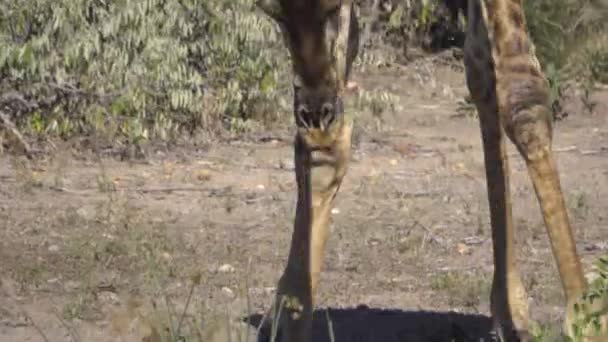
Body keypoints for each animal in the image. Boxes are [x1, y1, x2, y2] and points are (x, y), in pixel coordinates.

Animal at [254, 0, 604, 340]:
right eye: (272, 12)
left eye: (332, 7)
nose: (316, 112)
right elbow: (327, 145)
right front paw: (290, 313)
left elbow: (524, 92)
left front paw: (588, 320)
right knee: (480, 67)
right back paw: (509, 311)